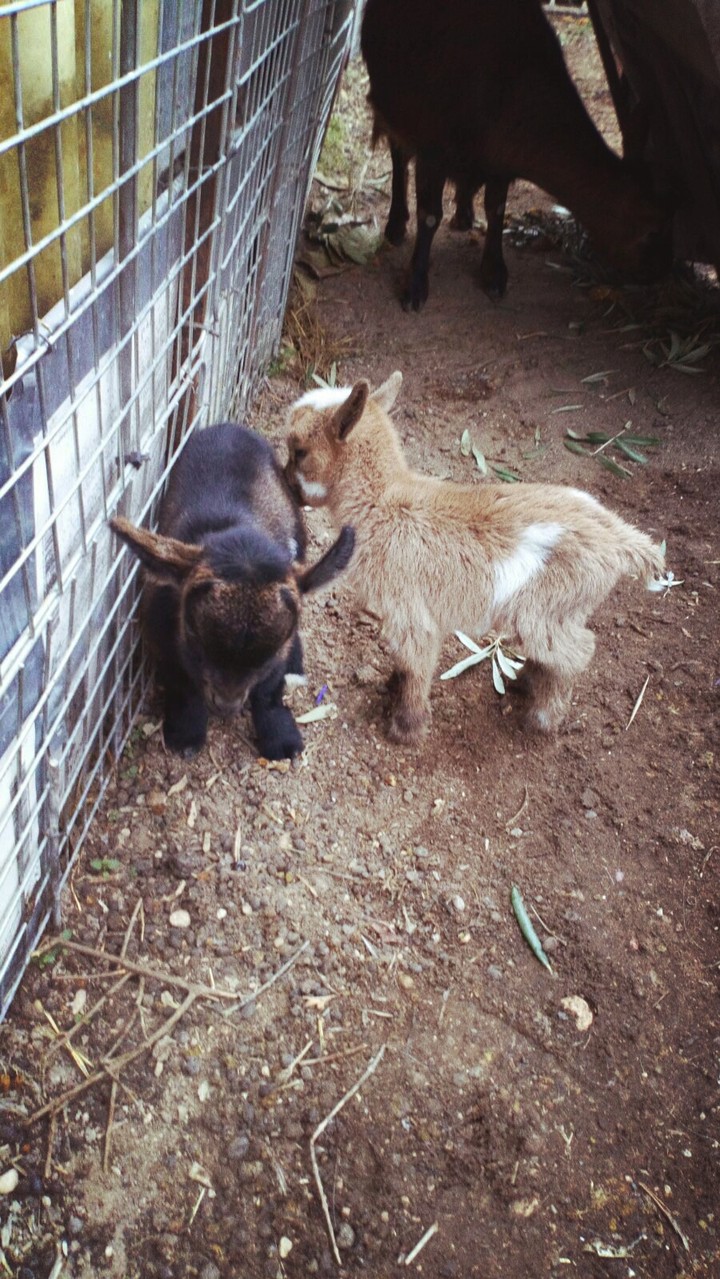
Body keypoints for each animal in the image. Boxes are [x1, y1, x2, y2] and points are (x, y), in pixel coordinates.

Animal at [112, 423, 354, 759]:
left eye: (268, 656)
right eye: (195, 639)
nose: (227, 705)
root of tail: (227, 426)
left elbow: (269, 691)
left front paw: (280, 736)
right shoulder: (160, 636)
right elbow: (183, 684)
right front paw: (186, 732)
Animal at [285, 372, 665, 745]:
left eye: (299, 451)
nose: (286, 488)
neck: (382, 504)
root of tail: (617, 539)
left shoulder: (410, 612)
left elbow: (416, 664)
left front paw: (406, 729)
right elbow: (405, 663)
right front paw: (393, 687)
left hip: (549, 609)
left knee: (578, 651)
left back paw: (543, 718)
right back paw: (525, 681)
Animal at [361, 0, 673, 310]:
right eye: (652, 230)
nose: (659, 273)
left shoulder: (499, 160)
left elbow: (496, 208)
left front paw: (494, 273)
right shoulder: (432, 146)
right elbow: (429, 216)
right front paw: (415, 285)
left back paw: (464, 212)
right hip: (391, 102)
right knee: (398, 155)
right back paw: (396, 223)